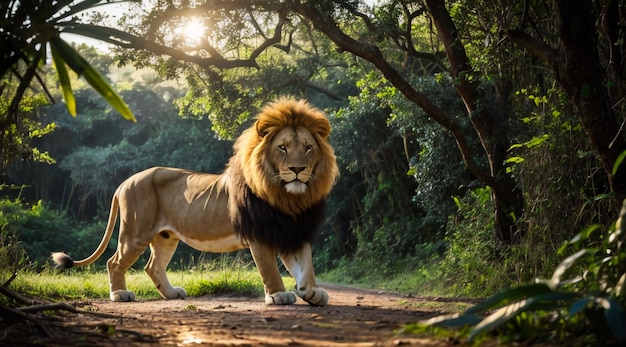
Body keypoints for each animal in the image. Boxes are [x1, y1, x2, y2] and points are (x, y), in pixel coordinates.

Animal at [51, 98, 338, 308]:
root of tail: (126, 181)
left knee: (152, 266)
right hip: (135, 232)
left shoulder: (293, 231)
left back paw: (171, 293)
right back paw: (120, 294)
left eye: (308, 147)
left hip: (165, 236)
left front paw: (312, 292)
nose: (298, 169)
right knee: (115, 262)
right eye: (282, 147)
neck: (289, 199)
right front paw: (279, 295)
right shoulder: (260, 234)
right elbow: (270, 269)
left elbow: (306, 267)